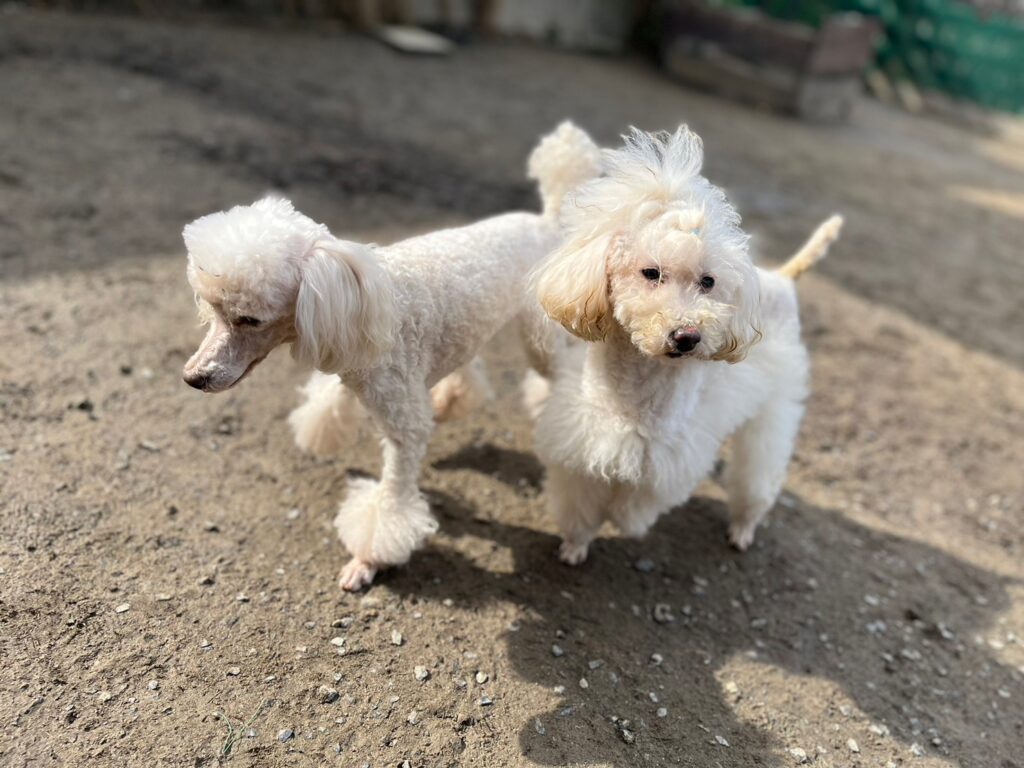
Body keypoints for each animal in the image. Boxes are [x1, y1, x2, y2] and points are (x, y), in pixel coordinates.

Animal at [181, 122, 602, 589]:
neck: (357, 297)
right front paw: (322, 431)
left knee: (564, 376)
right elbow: (329, 402)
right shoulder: (348, 356)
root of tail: (545, 218)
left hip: (539, 335)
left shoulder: (403, 423)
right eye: (213, 309)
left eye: (249, 319)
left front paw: (368, 560)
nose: (193, 378)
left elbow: (392, 498)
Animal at [528, 126, 843, 564]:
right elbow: (580, 503)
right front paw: (575, 545)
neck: (638, 390)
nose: (687, 336)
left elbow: (636, 501)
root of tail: (781, 278)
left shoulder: (670, 455)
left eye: (708, 282)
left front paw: (624, 521)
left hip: (774, 411)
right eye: (651, 272)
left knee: (758, 474)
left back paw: (743, 528)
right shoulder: (580, 441)